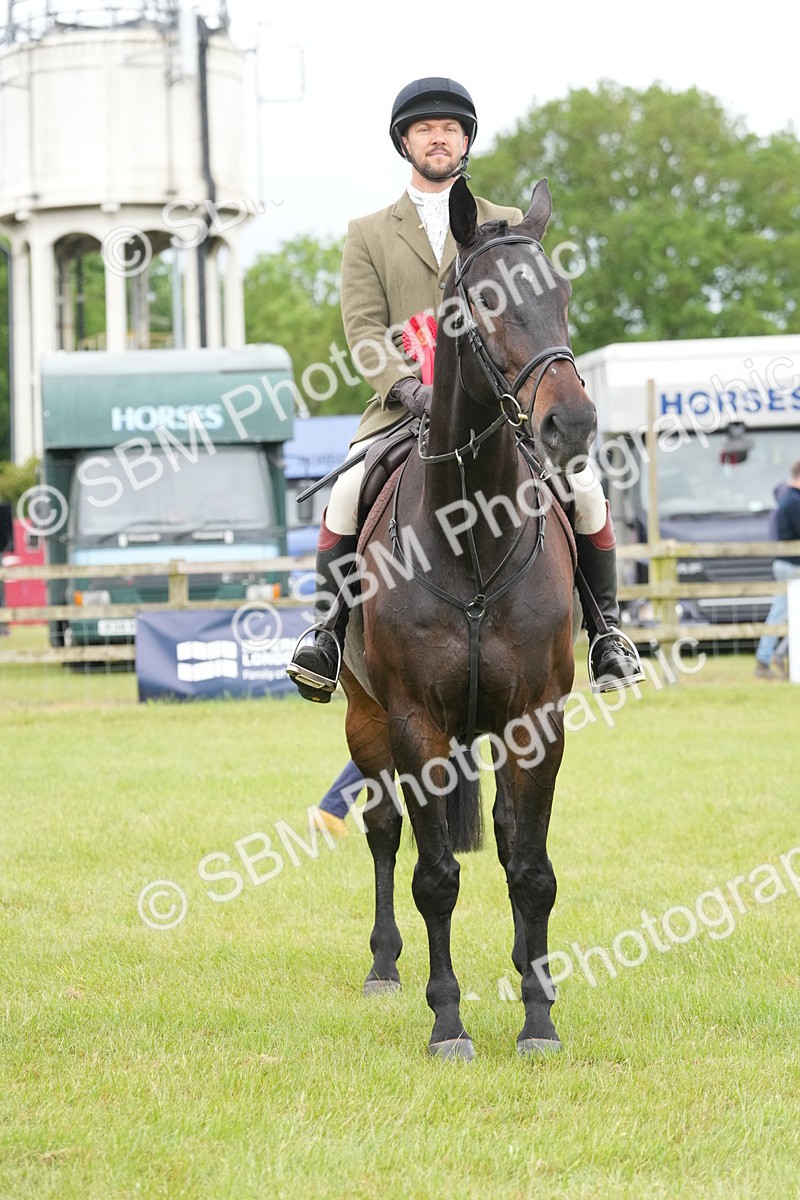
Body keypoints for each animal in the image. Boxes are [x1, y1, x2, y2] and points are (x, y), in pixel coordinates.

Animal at [340, 176, 598, 1059]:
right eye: (486, 302)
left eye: (562, 295)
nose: (572, 425)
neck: (472, 536)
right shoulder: (415, 721)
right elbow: (436, 876)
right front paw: (447, 1020)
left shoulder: (536, 718)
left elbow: (533, 868)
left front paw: (540, 1016)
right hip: (364, 720)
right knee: (385, 831)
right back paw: (386, 967)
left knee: (510, 835)